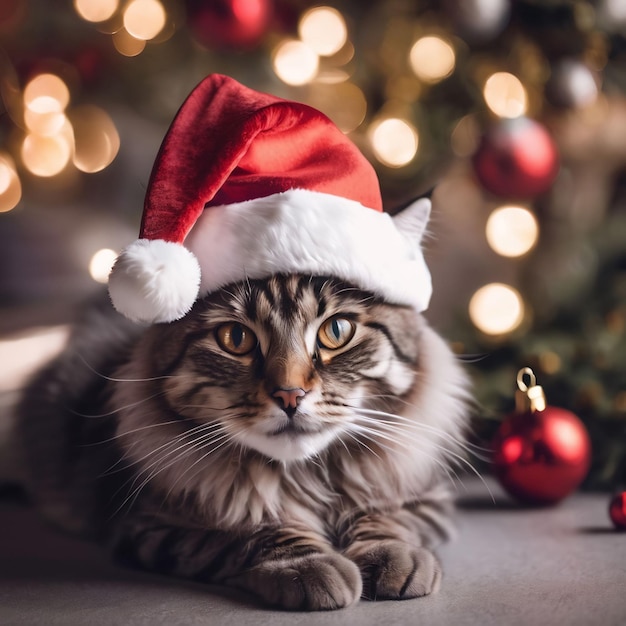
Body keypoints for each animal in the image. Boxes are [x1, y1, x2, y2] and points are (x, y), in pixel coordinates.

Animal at [14, 266, 470, 608]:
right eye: (236, 339)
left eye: (337, 331)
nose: (290, 395)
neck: (307, 475)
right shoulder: (151, 525)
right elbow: (253, 531)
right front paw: (309, 566)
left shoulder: (426, 498)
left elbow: (389, 519)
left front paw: (394, 558)